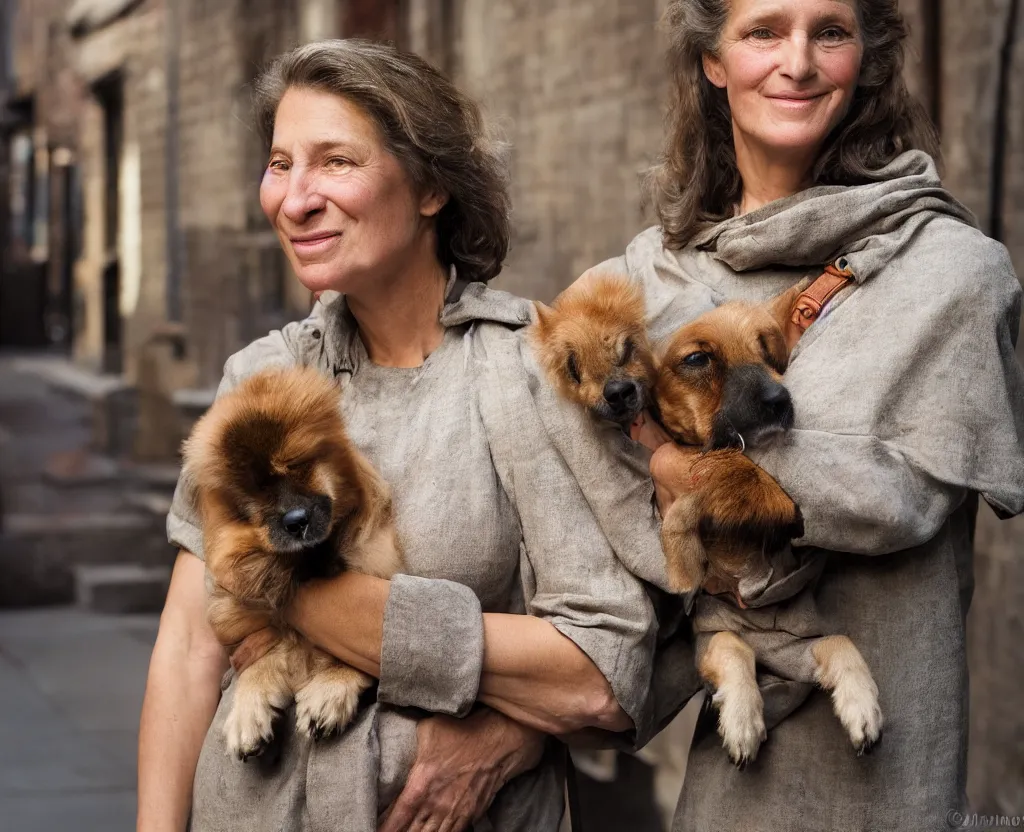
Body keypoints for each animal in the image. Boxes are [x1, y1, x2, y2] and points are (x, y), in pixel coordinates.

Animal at [180, 364, 403, 762]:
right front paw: (249, 710)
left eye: (298, 466)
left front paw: (331, 689)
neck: (309, 562)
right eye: (255, 495)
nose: (296, 521)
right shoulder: (250, 624)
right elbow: (263, 660)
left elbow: (357, 654)